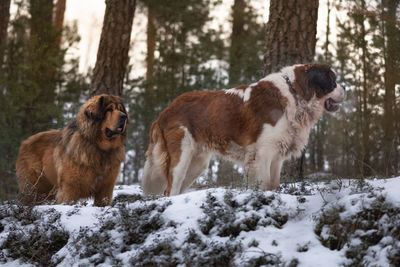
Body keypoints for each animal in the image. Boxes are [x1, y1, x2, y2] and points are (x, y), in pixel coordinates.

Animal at [142, 63, 346, 196]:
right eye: (332, 81)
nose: (345, 88)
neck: (294, 93)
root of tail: (165, 111)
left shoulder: (277, 156)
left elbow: (274, 183)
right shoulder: (263, 153)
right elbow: (264, 182)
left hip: (197, 163)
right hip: (182, 155)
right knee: (171, 188)